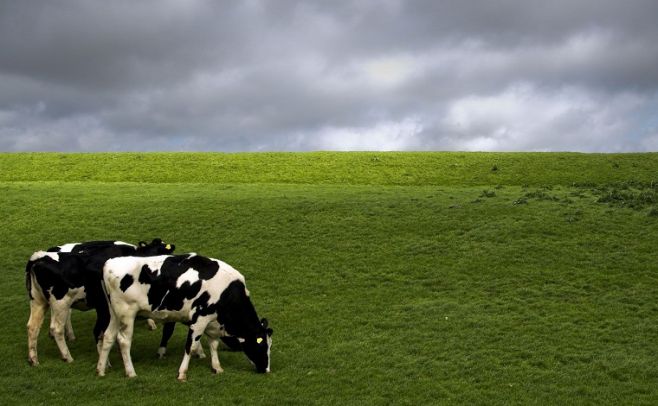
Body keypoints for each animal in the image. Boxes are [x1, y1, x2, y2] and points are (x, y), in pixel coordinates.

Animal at [25, 239, 174, 366]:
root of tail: (38, 258)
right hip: (60, 303)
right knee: (56, 329)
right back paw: (67, 356)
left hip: (38, 301)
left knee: (33, 327)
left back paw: (34, 359)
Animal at [96, 254, 272, 380]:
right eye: (263, 345)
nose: (266, 369)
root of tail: (109, 263)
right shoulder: (200, 319)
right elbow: (191, 346)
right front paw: (182, 373)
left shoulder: (212, 322)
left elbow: (213, 344)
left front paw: (217, 367)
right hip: (127, 313)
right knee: (124, 341)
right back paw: (131, 372)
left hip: (114, 313)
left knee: (108, 337)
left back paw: (101, 369)